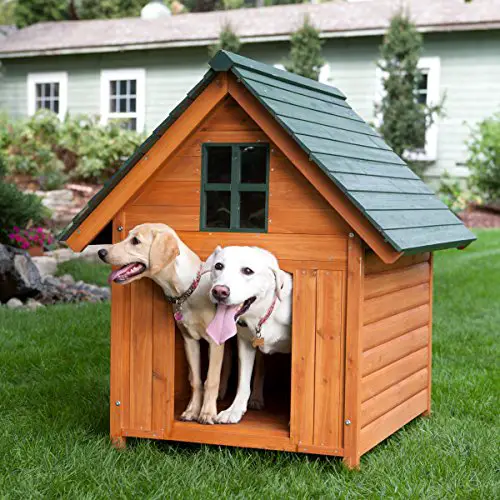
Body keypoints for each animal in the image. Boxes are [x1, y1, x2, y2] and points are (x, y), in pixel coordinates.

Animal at [206, 245, 292, 422]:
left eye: (247, 271)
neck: (262, 317)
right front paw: (234, 410)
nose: (219, 291)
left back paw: (256, 399)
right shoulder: (245, 345)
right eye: (218, 266)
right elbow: (243, 382)